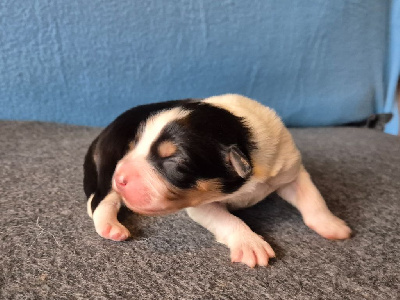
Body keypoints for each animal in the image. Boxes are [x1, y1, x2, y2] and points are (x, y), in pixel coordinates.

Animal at [83, 94, 350, 268]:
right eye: (133, 146)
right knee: (100, 200)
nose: (121, 177)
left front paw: (333, 225)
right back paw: (111, 227)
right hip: (108, 164)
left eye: (174, 162)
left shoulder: (289, 169)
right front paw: (250, 243)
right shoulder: (200, 204)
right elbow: (228, 220)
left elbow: (312, 197)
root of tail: (101, 135)